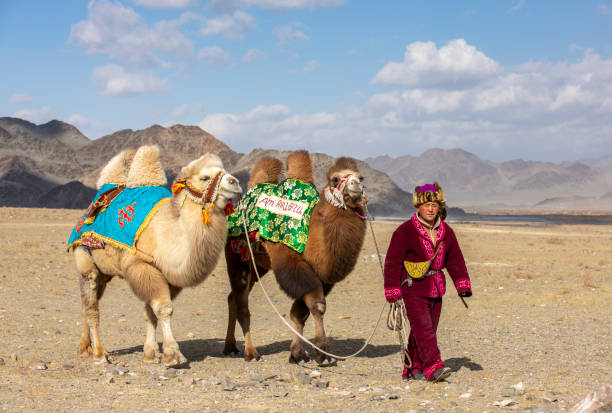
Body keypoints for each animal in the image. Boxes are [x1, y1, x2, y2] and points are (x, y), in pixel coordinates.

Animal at [70, 146, 241, 366]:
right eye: (205, 178)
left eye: (226, 171)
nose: (235, 182)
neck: (167, 235)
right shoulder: (142, 266)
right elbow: (163, 309)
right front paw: (173, 355)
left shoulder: (170, 277)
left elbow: (150, 313)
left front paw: (151, 353)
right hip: (84, 258)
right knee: (91, 308)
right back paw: (100, 354)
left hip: (104, 273)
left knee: (88, 303)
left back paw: (85, 349)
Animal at [225, 150, 368, 364]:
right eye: (335, 179)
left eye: (361, 177)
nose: (356, 186)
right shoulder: (291, 262)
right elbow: (317, 306)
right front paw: (323, 353)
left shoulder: (321, 276)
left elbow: (301, 313)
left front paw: (298, 353)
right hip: (236, 255)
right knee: (242, 304)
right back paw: (250, 352)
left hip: (258, 265)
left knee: (232, 298)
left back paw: (230, 347)